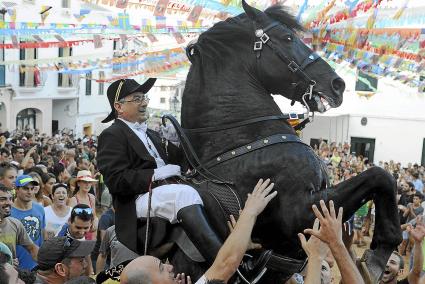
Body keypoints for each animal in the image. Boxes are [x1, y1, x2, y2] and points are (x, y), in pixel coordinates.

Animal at [167, 1, 400, 282]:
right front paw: (378, 256)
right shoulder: (298, 213)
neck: (241, 143)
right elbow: (380, 176)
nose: (337, 85)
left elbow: (382, 178)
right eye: (288, 38)